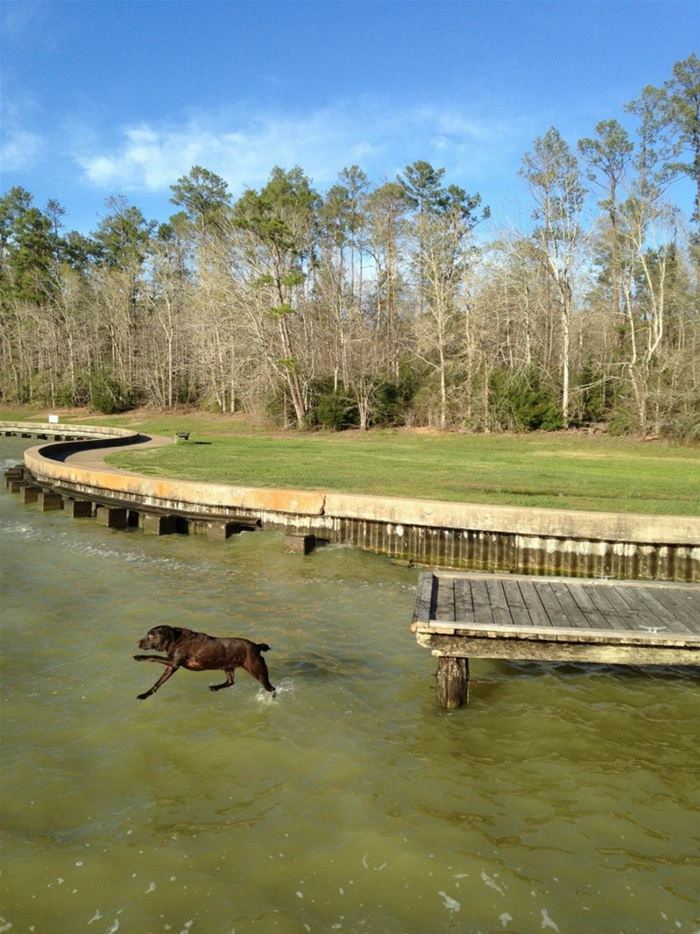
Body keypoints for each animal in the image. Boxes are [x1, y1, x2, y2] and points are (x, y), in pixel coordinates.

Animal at [133, 628, 274, 704]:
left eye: (150, 636)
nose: (137, 642)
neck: (175, 639)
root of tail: (257, 646)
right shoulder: (171, 666)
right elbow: (158, 683)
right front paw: (144, 695)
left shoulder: (173, 663)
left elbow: (153, 656)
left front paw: (139, 657)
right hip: (227, 667)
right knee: (230, 682)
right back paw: (215, 687)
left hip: (257, 671)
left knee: (271, 688)